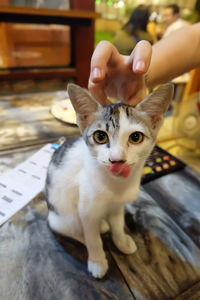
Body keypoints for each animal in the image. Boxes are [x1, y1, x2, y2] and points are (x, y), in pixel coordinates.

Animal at [45, 82, 173, 278]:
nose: (117, 160)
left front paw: (121, 240)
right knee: (75, 230)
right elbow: (93, 238)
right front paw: (97, 260)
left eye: (136, 137)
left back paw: (104, 225)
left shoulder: (118, 205)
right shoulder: (86, 210)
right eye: (100, 136)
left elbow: (118, 224)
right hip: (63, 217)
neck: (116, 185)